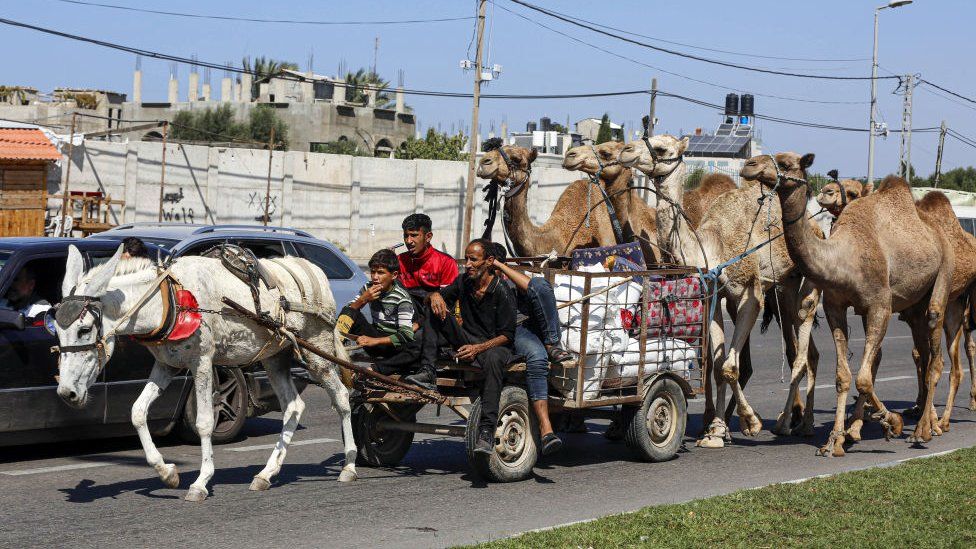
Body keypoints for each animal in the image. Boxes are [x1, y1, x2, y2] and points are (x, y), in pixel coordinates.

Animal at [53, 244, 358, 500]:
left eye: (84, 329)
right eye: (56, 329)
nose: (67, 392)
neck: (170, 299)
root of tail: (314, 269)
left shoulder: (202, 361)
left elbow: (203, 422)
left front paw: (200, 482)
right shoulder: (167, 364)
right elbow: (137, 412)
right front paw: (166, 472)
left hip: (317, 348)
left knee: (341, 398)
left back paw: (349, 465)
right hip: (275, 356)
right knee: (293, 406)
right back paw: (266, 474)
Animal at [620, 136, 820, 446]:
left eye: (663, 148)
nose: (625, 150)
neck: (712, 246)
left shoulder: (750, 294)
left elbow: (729, 366)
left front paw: (751, 423)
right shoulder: (715, 296)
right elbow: (716, 366)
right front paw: (715, 430)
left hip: (802, 281)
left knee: (801, 342)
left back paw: (793, 423)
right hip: (783, 288)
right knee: (803, 351)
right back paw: (796, 420)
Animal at [756, 152, 952, 456]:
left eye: (786, 163)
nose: (749, 165)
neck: (845, 255)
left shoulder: (880, 306)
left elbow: (864, 376)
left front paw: (890, 422)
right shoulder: (836, 306)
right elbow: (844, 376)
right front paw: (835, 439)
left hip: (943, 271)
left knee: (936, 350)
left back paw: (924, 430)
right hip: (914, 304)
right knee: (923, 352)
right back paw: (922, 420)